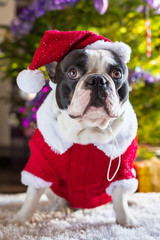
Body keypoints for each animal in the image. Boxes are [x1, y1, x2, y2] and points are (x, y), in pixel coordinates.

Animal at [9, 30, 138, 227]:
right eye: (72, 73)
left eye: (116, 73)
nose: (98, 80)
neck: (87, 130)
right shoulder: (40, 164)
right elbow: (32, 196)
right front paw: (20, 220)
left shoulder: (122, 169)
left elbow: (120, 198)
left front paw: (126, 221)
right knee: (56, 197)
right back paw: (62, 208)